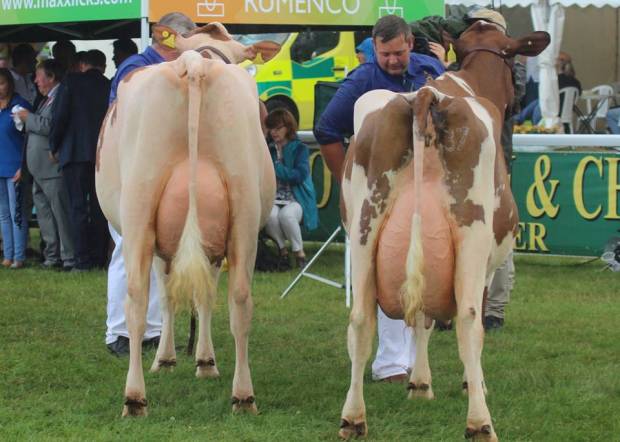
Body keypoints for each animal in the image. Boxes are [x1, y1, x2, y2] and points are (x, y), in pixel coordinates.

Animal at [96, 22, 276, 416]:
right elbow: (199, 295)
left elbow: (166, 296)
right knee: (240, 298)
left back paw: (135, 398)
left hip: (138, 210)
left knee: (136, 297)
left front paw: (172, 359)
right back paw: (244, 396)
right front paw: (199, 361)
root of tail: (195, 63)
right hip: (242, 209)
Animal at [340, 20, 548, 438]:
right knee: (468, 320)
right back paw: (480, 423)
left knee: (361, 319)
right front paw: (472, 382)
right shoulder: (486, 261)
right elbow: (467, 321)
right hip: (472, 235)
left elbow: (424, 318)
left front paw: (420, 384)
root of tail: (425, 95)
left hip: (364, 229)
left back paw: (353, 419)